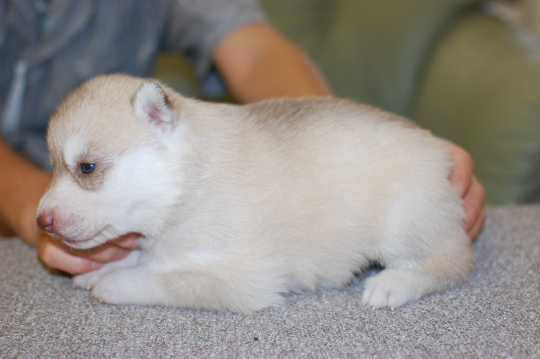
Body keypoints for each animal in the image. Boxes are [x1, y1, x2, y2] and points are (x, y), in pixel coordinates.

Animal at [35, 74, 472, 314]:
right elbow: (146, 258)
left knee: (452, 261)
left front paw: (113, 283)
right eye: (53, 166)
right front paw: (103, 269)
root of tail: (439, 149)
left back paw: (393, 284)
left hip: (404, 221)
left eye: (87, 167)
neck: (189, 183)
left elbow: (165, 279)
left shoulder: (244, 279)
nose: (41, 221)